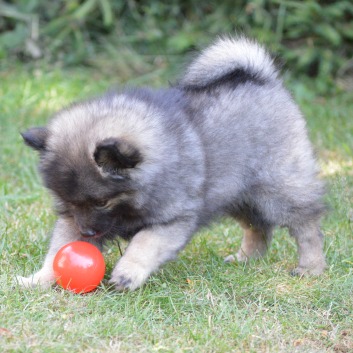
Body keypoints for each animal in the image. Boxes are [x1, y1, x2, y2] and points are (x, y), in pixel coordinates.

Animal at [15, 35, 324, 290]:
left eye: (102, 202)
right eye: (66, 201)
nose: (87, 232)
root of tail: (262, 78)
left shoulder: (172, 219)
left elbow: (144, 243)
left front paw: (128, 273)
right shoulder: (72, 219)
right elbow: (59, 249)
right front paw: (39, 279)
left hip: (279, 189)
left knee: (307, 225)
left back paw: (311, 267)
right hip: (236, 195)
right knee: (258, 227)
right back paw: (246, 259)